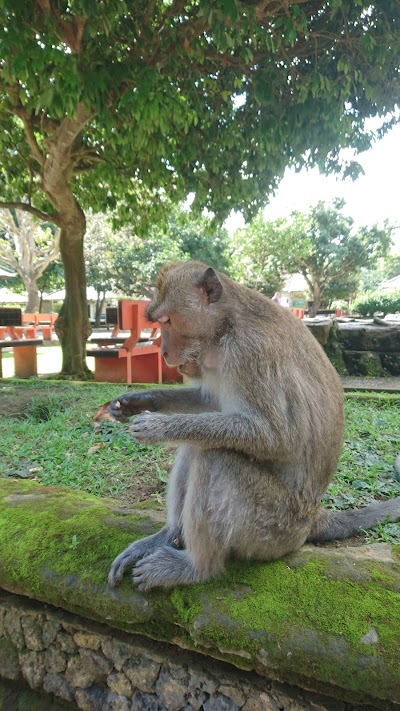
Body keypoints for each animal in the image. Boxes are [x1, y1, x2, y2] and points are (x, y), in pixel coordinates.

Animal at [107, 261, 400, 591]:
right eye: (159, 323)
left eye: (168, 321)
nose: (164, 352)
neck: (225, 328)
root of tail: (312, 519)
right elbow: (210, 403)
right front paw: (136, 400)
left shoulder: (251, 353)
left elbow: (278, 437)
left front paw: (160, 427)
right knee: (199, 447)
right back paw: (168, 537)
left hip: (273, 527)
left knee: (217, 456)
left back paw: (195, 568)